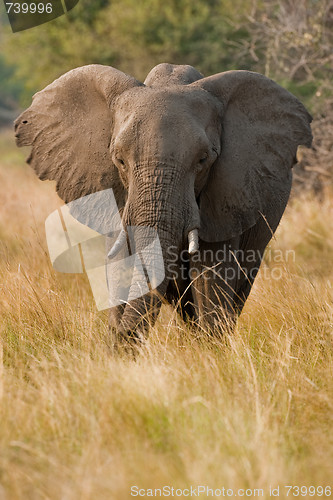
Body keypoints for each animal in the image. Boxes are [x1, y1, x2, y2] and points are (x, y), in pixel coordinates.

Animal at [14, 62, 312, 350]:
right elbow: (122, 266)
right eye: (119, 160)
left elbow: (211, 278)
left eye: (203, 160)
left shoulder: (226, 198)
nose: (117, 337)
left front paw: (210, 353)